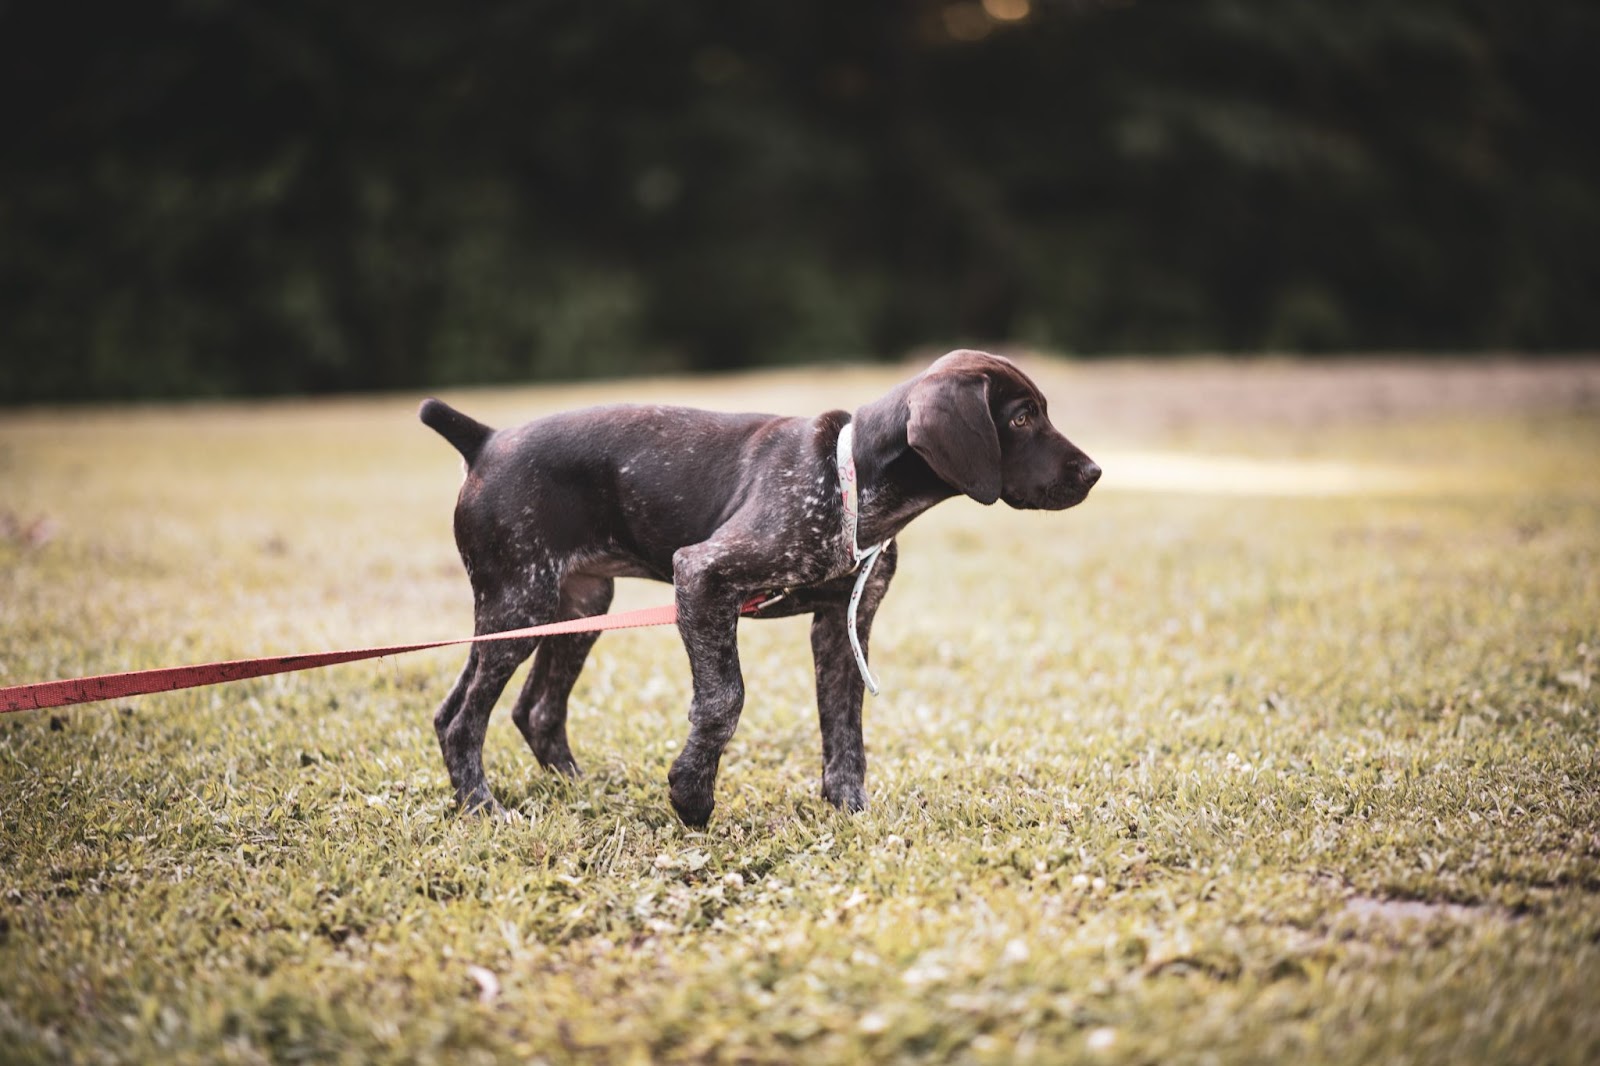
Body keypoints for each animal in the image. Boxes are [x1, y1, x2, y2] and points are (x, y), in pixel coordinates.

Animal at [419, 348, 1107, 819]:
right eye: (1021, 420)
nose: (1095, 472)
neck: (851, 484)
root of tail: (486, 441)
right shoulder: (702, 578)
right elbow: (725, 700)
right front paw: (692, 796)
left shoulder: (843, 625)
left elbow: (845, 728)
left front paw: (849, 810)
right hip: (522, 603)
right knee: (464, 720)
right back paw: (482, 807)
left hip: (575, 606)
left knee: (525, 709)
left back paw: (573, 789)